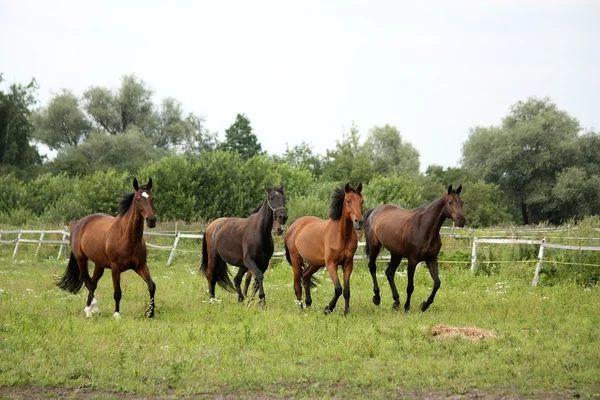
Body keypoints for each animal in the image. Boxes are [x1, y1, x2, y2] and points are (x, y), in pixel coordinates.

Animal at [55, 178, 158, 318]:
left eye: (152, 198)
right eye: (137, 199)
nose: (151, 220)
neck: (127, 237)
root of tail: (78, 225)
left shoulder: (140, 265)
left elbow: (151, 285)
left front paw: (150, 313)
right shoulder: (115, 268)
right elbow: (117, 292)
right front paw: (117, 315)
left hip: (99, 265)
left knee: (93, 283)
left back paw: (88, 310)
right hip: (81, 260)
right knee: (88, 282)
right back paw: (95, 309)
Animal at [284, 183, 364, 318]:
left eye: (361, 201)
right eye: (348, 201)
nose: (359, 222)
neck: (341, 235)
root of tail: (293, 225)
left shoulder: (348, 264)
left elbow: (346, 290)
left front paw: (346, 312)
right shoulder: (331, 264)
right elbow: (338, 289)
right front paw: (328, 309)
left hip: (315, 263)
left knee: (305, 275)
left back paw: (308, 303)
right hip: (296, 259)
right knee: (297, 285)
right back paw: (302, 309)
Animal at [364, 184, 466, 312]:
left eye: (461, 202)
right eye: (450, 202)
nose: (461, 220)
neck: (424, 228)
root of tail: (374, 211)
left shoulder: (431, 259)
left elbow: (437, 283)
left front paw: (425, 305)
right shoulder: (412, 261)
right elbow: (410, 287)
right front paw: (407, 307)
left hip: (396, 254)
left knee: (389, 272)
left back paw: (396, 302)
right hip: (374, 247)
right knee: (372, 267)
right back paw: (377, 298)